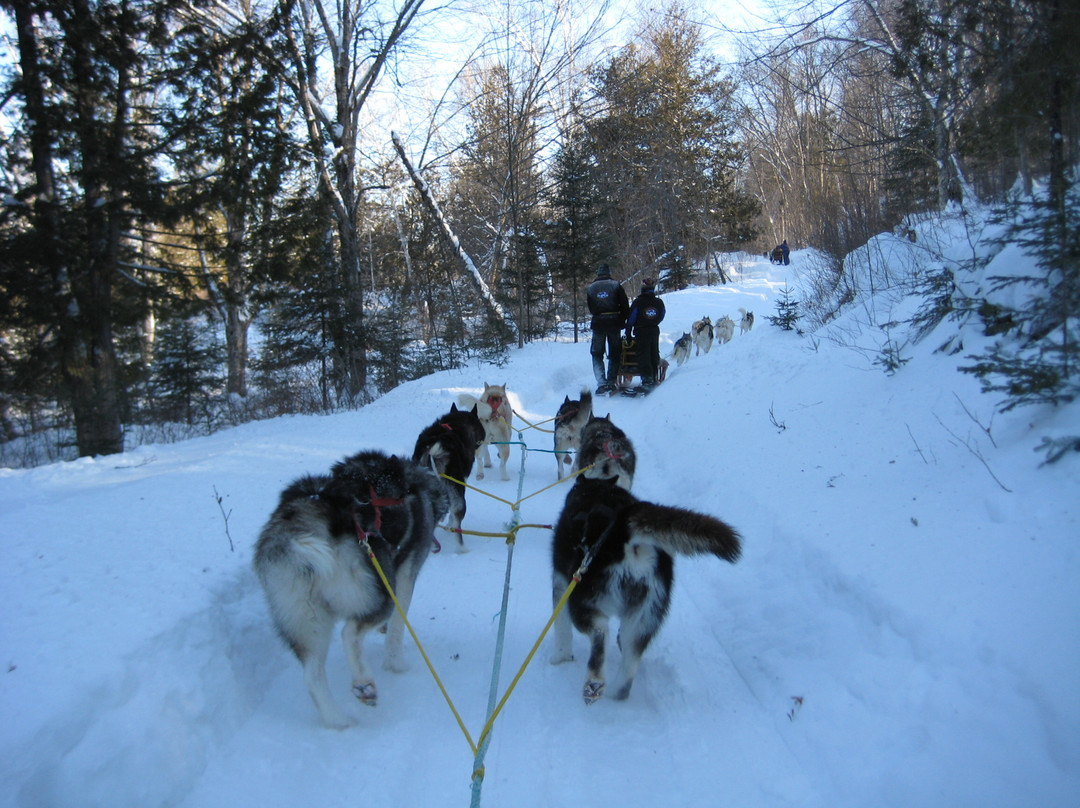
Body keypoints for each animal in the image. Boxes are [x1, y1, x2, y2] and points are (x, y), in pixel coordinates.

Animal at [253, 450, 448, 729]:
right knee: (350, 633)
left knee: (313, 674)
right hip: (379, 592)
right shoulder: (404, 579)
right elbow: (396, 630)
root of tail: (305, 518)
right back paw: (363, 682)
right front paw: (396, 664)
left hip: (305, 619)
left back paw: (338, 720)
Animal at [549, 477, 742, 704]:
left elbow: (561, 629)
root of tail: (625, 536)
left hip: (582, 604)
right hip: (643, 621)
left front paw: (559, 657)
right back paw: (616, 693)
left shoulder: (561, 584)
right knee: (628, 668)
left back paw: (594, 683)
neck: (597, 489)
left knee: (600, 635)